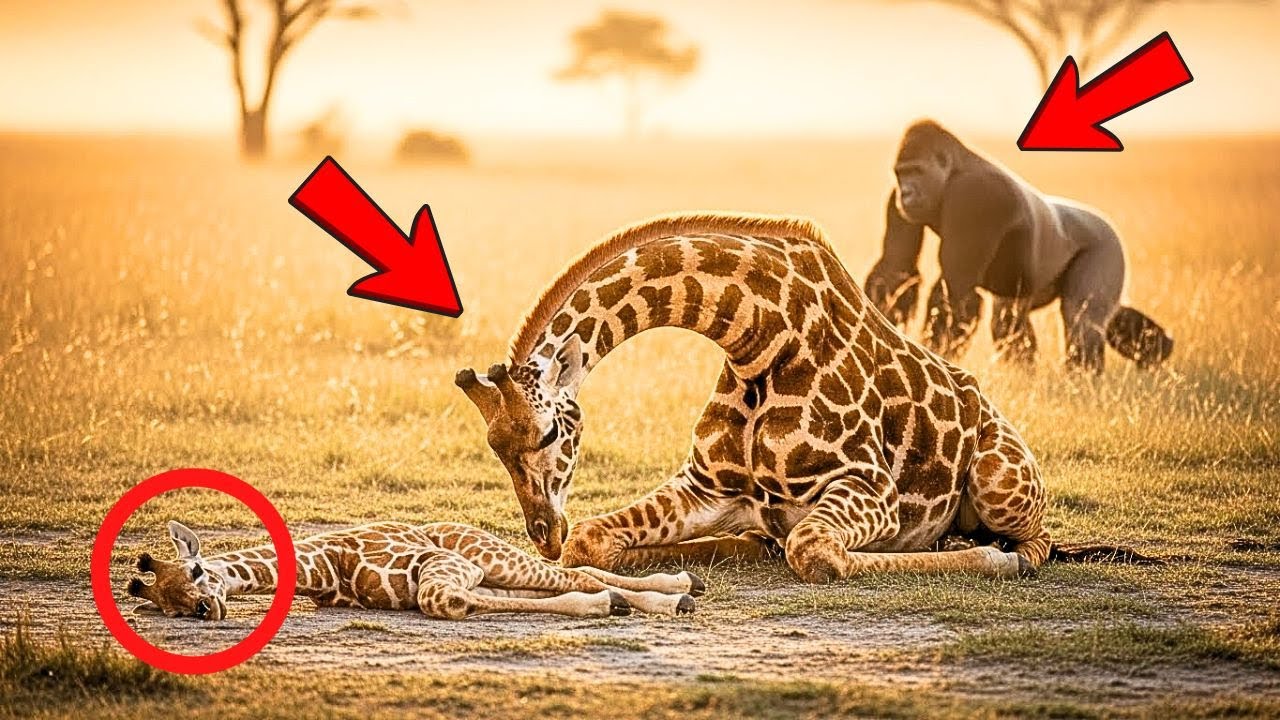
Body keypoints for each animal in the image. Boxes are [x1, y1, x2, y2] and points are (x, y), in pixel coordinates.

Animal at [456, 212, 1052, 584]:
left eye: (550, 433)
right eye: (494, 448)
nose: (542, 534)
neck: (761, 339)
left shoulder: (872, 487)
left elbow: (817, 553)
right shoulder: (711, 487)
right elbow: (590, 538)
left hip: (998, 479)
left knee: (1037, 541)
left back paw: (987, 551)